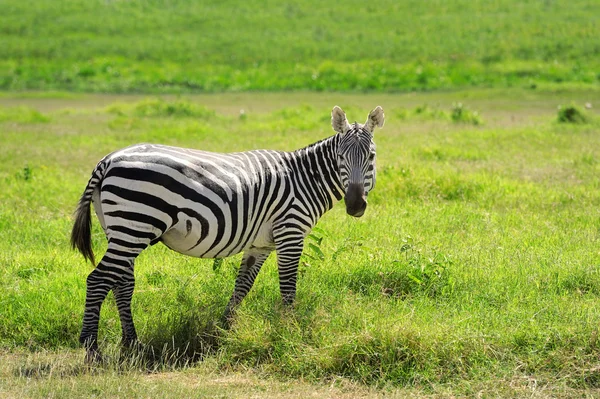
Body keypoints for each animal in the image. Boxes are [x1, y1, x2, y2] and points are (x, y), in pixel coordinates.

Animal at [71, 104, 384, 360]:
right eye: (341, 157)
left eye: (370, 156)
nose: (355, 205)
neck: (304, 179)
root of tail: (108, 159)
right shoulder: (290, 233)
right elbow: (288, 287)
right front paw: (289, 330)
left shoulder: (260, 245)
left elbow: (242, 286)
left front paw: (224, 328)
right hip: (134, 225)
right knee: (98, 280)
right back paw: (92, 348)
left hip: (123, 230)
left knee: (122, 283)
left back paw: (132, 344)